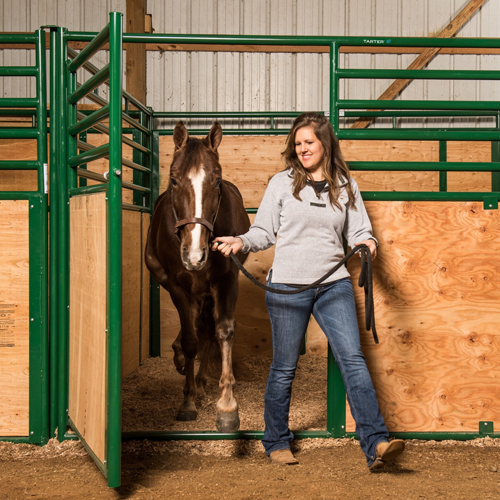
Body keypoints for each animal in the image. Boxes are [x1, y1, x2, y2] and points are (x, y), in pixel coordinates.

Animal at [145, 121, 250, 434]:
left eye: (217, 181)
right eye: (174, 180)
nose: (195, 255)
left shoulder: (226, 280)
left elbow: (222, 331)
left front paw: (227, 407)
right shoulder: (178, 286)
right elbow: (191, 341)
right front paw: (188, 401)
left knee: (207, 330)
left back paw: (202, 383)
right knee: (196, 330)